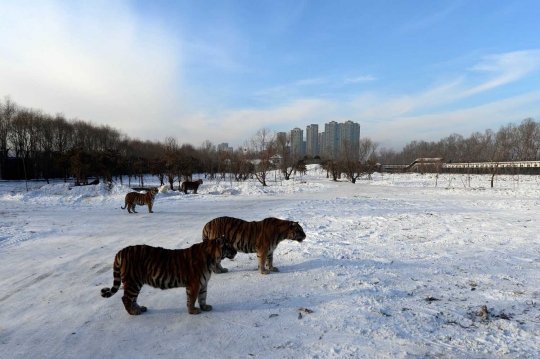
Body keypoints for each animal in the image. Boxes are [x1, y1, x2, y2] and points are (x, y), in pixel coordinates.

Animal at [101, 238, 236, 316]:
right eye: (228, 246)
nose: (236, 251)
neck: (212, 259)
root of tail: (121, 251)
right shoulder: (194, 284)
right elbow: (192, 299)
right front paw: (193, 311)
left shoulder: (203, 284)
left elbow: (203, 297)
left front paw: (205, 307)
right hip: (133, 282)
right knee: (126, 298)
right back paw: (133, 312)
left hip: (135, 283)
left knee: (133, 299)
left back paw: (140, 308)